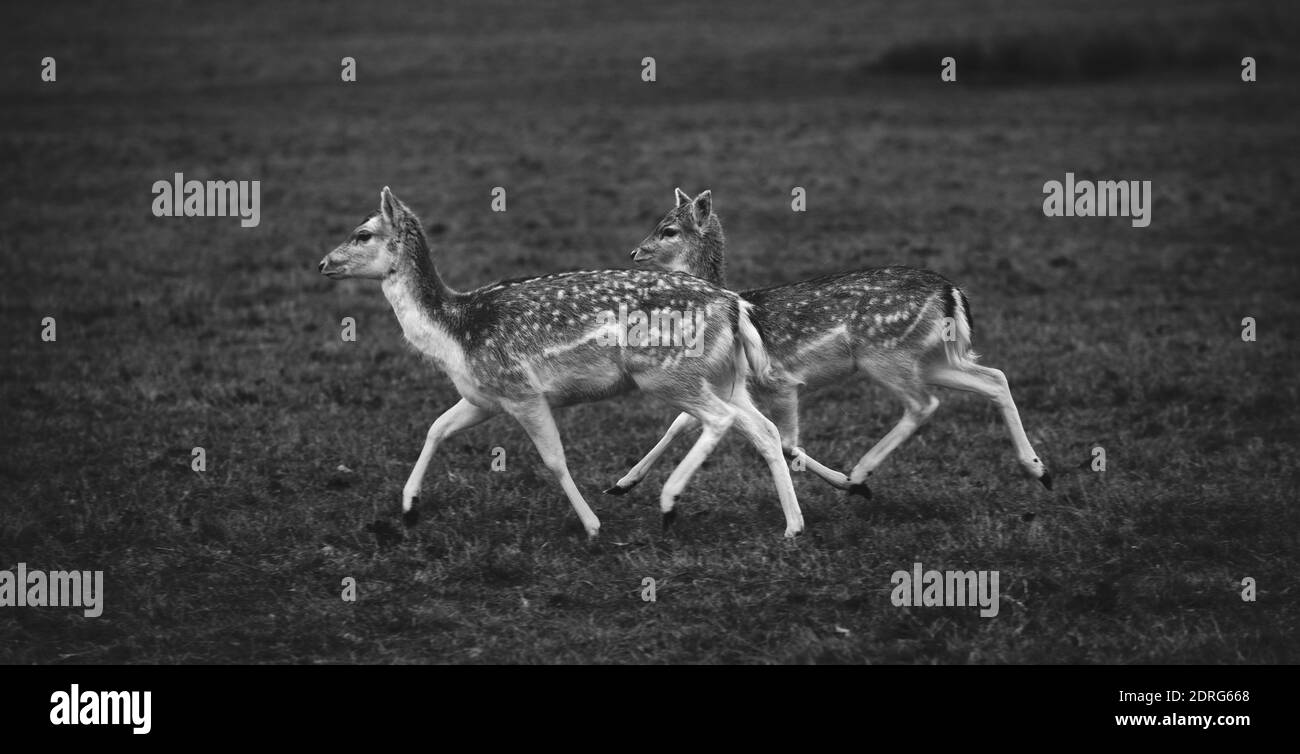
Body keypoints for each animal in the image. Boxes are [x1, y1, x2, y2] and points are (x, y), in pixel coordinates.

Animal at [317, 187, 804, 539]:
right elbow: (436, 428)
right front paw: (408, 509)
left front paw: (592, 526)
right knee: (764, 430)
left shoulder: (521, 389)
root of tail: (734, 303)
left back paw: (668, 504)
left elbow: (553, 459)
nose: (323, 263)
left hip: (667, 373)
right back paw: (792, 526)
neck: (454, 333)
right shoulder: (483, 397)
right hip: (720, 379)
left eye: (362, 234)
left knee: (720, 420)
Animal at [604, 188, 1051, 500]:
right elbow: (680, 422)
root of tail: (952, 292)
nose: (635, 251)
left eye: (669, 230)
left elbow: (783, 442)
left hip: (884, 353)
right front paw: (621, 483)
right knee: (995, 377)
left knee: (924, 404)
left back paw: (862, 471)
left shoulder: (778, 381)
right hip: (930, 358)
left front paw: (848, 484)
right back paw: (1039, 469)